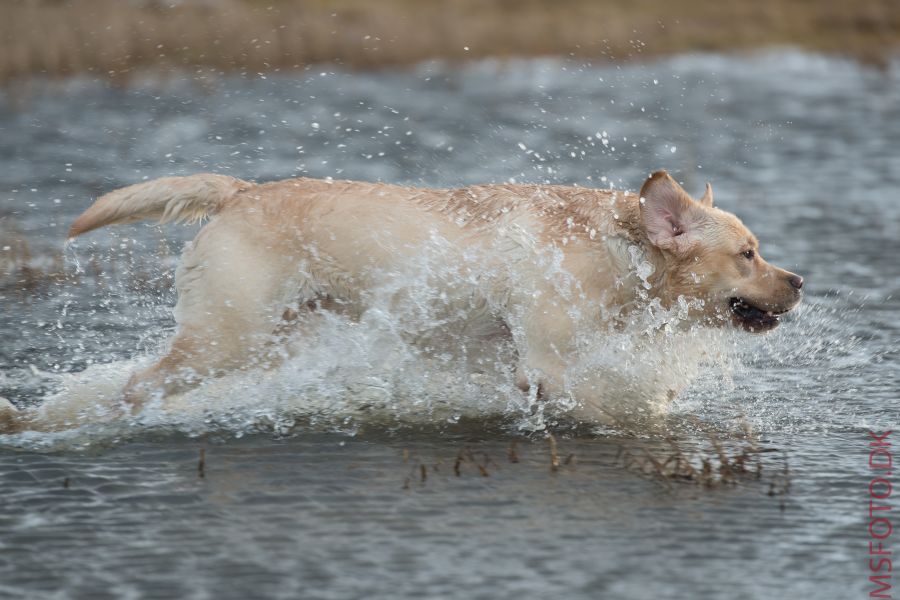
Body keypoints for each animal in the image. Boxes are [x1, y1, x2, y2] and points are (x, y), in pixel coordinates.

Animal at [0, 170, 800, 432]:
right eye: (749, 252)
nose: (799, 281)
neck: (616, 249)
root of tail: (239, 191)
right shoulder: (548, 365)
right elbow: (615, 410)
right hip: (223, 338)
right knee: (134, 387)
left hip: (269, 339)